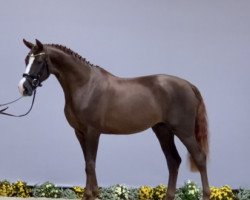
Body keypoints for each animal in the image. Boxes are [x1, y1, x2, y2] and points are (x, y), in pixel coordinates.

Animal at [17, 39, 210, 200]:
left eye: (39, 61)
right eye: (26, 60)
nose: (23, 88)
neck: (85, 85)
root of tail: (189, 85)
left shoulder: (92, 132)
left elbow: (90, 164)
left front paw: (90, 195)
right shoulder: (79, 132)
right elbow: (87, 162)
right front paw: (93, 193)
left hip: (184, 131)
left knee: (199, 158)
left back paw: (206, 195)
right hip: (163, 130)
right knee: (173, 161)